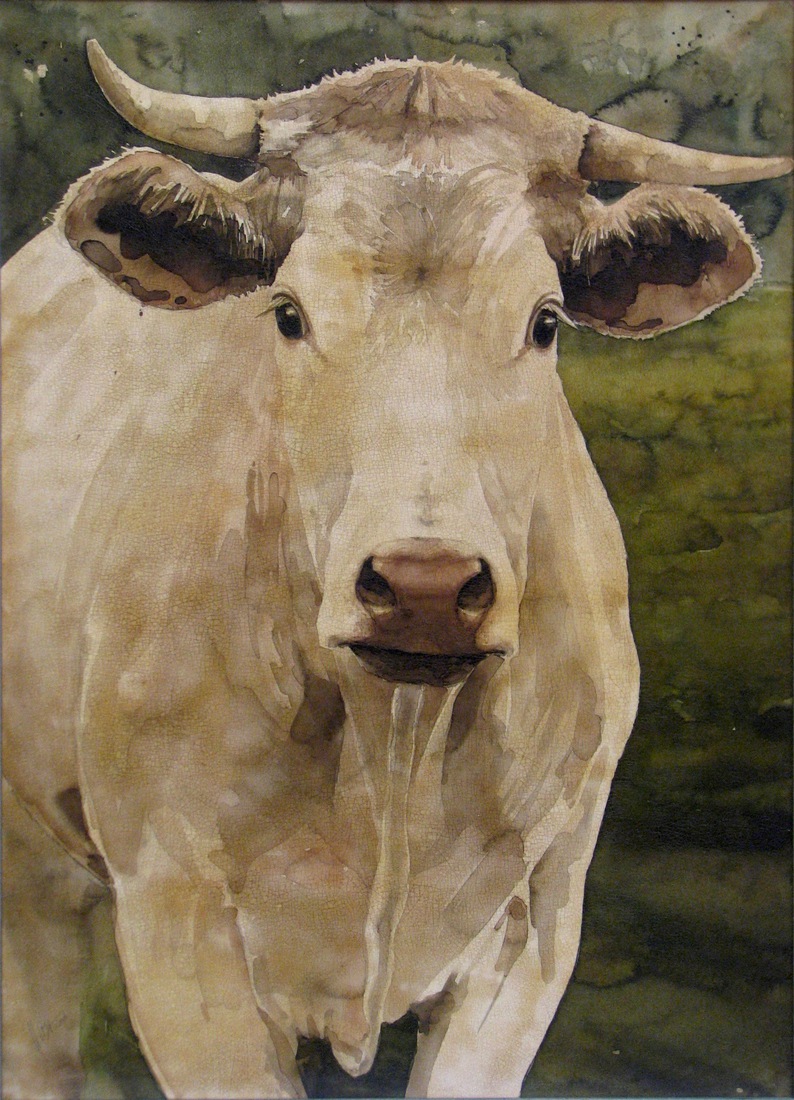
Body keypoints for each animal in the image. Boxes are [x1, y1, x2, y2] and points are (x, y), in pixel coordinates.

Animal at [2, 41, 791, 1100]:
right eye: (288, 313)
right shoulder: (176, 927)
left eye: (546, 321)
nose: (425, 586)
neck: (392, 745)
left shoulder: (535, 925)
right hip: (27, 867)